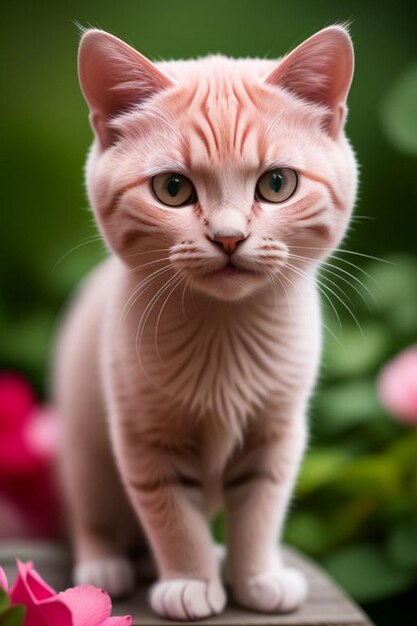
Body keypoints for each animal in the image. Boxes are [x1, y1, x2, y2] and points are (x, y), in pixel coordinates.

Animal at [53, 25, 356, 620]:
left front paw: (257, 577)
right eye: (173, 189)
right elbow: (172, 516)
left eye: (277, 183)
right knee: (92, 514)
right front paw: (189, 581)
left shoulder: (278, 431)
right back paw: (105, 565)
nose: (229, 236)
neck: (224, 328)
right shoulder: (143, 436)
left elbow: (261, 509)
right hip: (83, 449)